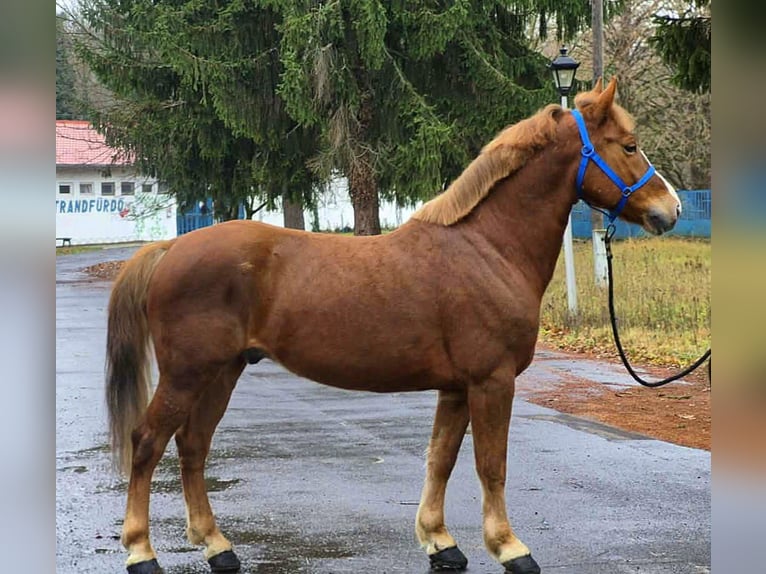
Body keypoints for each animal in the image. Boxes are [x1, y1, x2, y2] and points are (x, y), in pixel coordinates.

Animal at [106, 78, 681, 574]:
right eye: (628, 146)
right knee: (148, 443)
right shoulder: (491, 382)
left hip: (222, 372)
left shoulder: (457, 387)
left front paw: (440, 541)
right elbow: (490, 464)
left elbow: (441, 459)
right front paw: (510, 548)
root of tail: (170, 247)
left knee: (193, 446)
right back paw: (141, 552)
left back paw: (217, 546)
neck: (487, 248)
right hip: (188, 374)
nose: (670, 210)